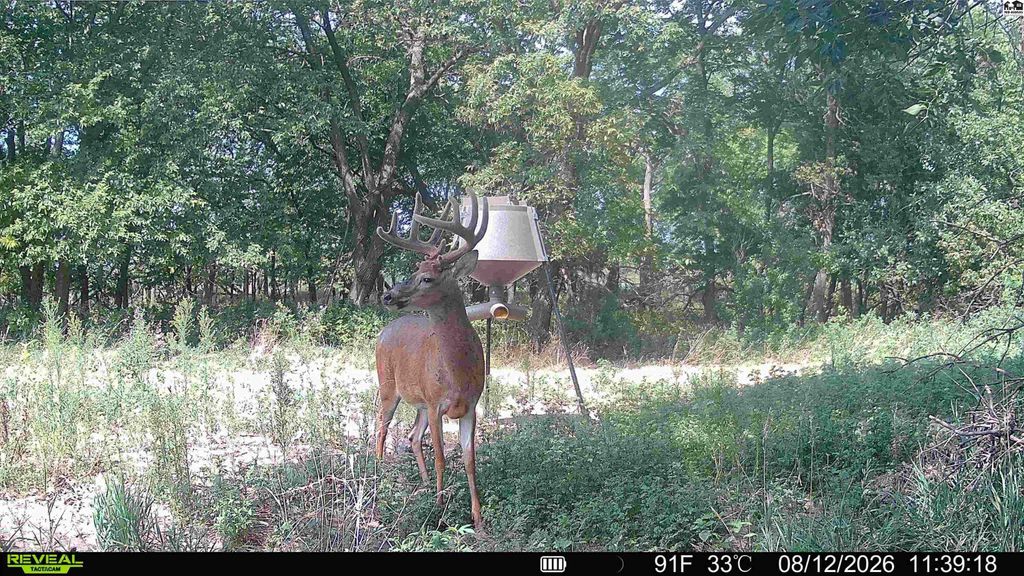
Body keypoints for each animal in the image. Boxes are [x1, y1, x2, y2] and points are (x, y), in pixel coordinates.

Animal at [374, 191, 489, 530]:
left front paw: (478, 519)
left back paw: (423, 485)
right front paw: (439, 511)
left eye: (426, 278)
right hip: (388, 385)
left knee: (412, 436)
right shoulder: (437, 402)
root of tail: (384, 331)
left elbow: (469, 459)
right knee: (381, 426)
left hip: (420, 402)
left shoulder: (470, 405)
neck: (457, 371)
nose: (387, 296)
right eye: (413, 271)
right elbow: (440, 456)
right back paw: (379, 475)